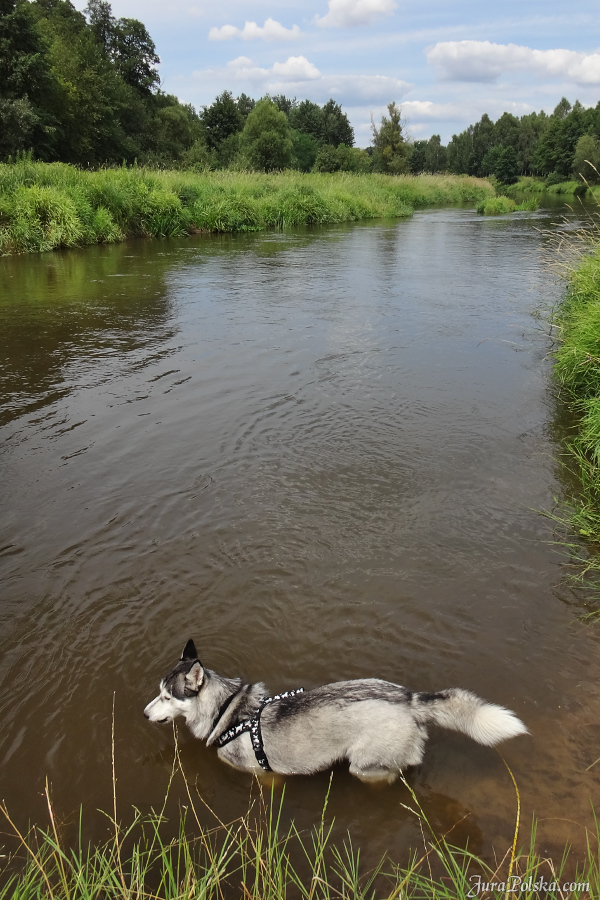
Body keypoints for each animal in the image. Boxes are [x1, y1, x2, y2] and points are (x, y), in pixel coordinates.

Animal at [143, 640, 528, 780]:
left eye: (166, 697)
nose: (144, 714)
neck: (228, 710)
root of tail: (409, 699)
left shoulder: (263, 776)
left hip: (363, 764)